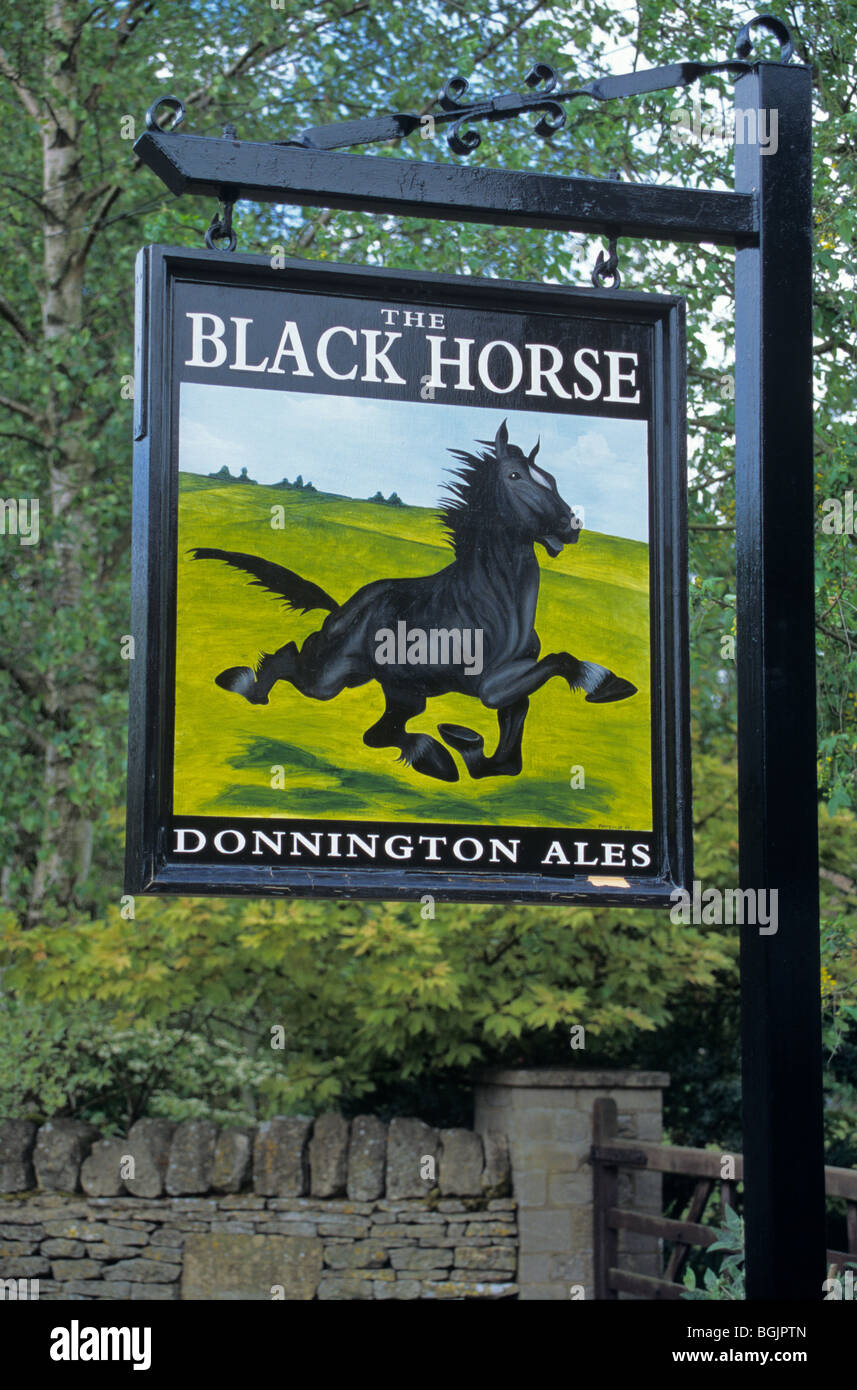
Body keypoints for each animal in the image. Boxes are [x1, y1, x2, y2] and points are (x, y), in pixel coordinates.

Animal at [191, 417, 636, 778]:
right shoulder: (488, 686)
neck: (493, 602)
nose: (570, 526)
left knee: (378, 732)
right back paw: (241, 683)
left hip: (397, 691)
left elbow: (506, 761)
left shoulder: (514, 691)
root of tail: (343, 609)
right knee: (290, 660)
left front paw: (462, 741)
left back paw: (434, 756)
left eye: (551, 477)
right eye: (514, 476)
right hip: (332, 678)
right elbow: (557, 663)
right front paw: (604, 682)